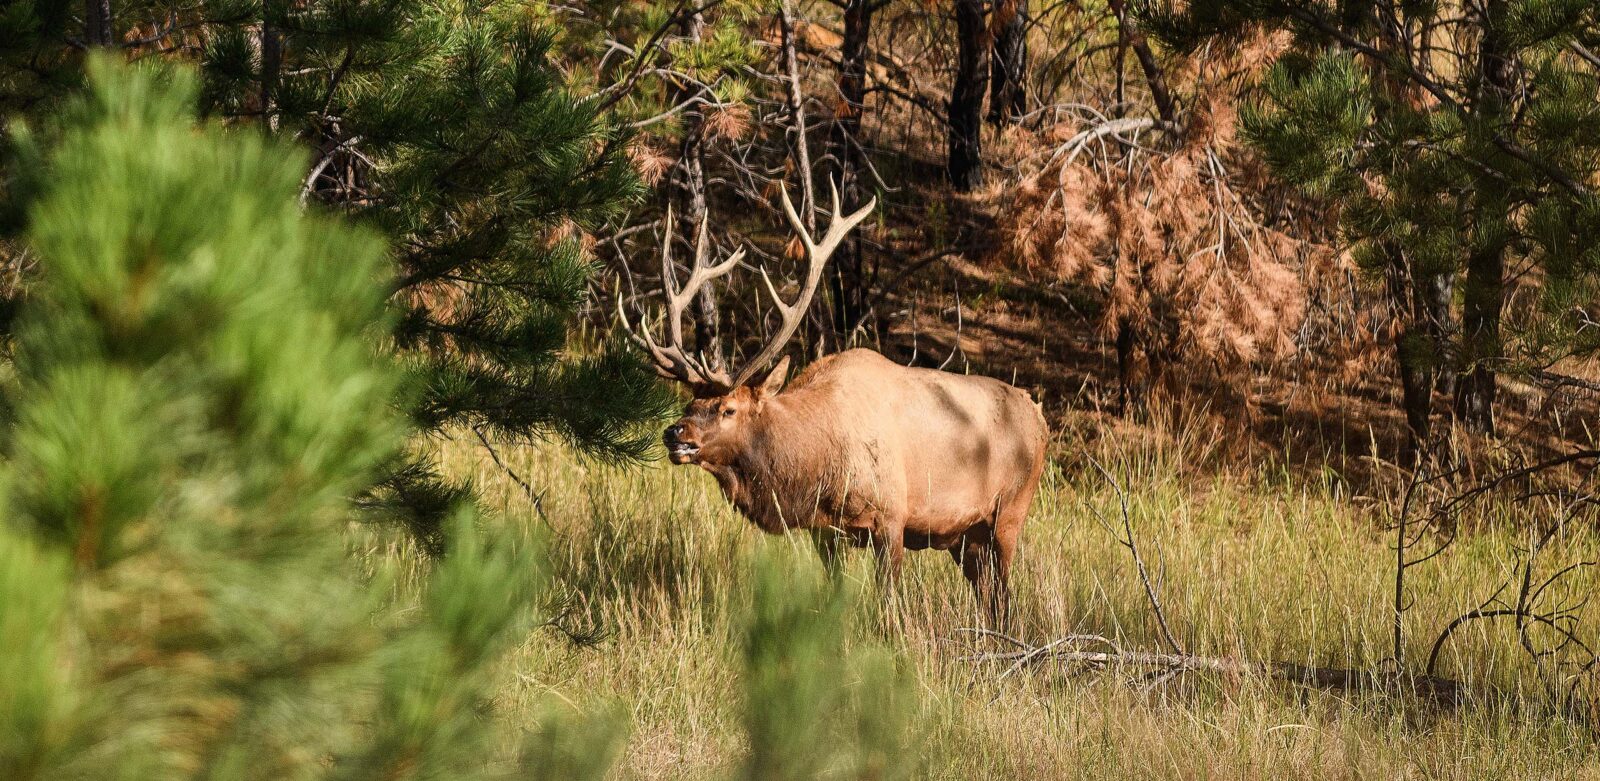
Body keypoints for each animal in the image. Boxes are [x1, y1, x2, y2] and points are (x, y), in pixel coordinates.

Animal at [616, 183, 1048, 626]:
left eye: (728, 409)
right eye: (691, 402)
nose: (674, 433)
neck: (814, 467)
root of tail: (1039, 416)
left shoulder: (892, 517)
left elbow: (887, 603)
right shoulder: (824, 531)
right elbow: (834, 595)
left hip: (1010, 512)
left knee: (1004, 595)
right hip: (966, 536)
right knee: (989, 597)